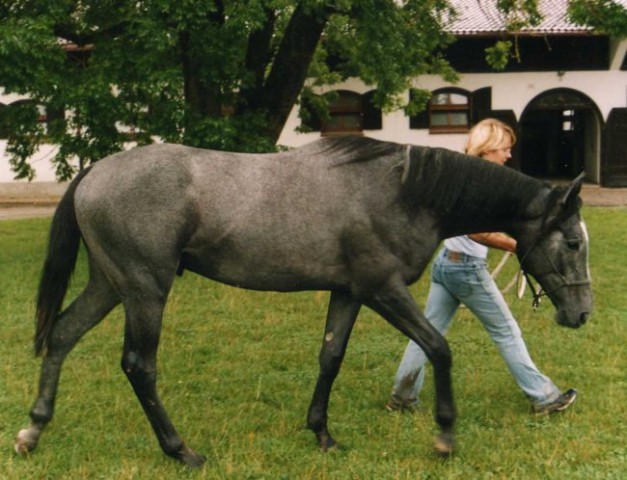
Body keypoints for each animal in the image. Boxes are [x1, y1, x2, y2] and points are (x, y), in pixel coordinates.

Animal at [15, 137, 592, 466]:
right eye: (571, 242)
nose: (581, 313)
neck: (404, 191)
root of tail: (94, 173)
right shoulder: (382, 289)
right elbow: (439, 348)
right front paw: (446, 435)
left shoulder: (349, 292)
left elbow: (330, 357)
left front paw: (322, 434)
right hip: (145, 290)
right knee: (139, 365)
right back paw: (181, 451)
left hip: (110, 284)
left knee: (62, 334)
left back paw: (33, 430)